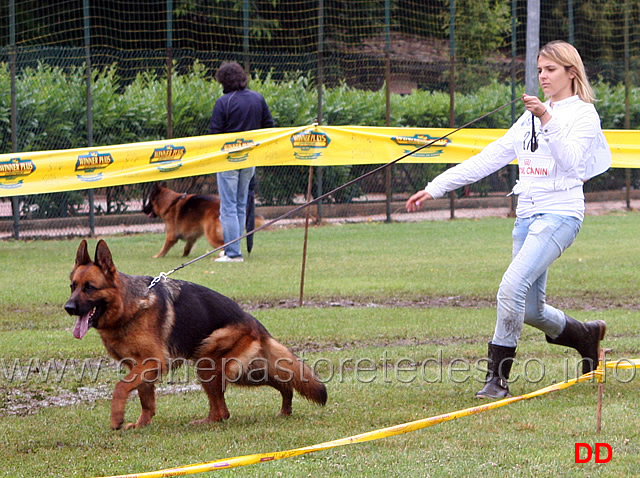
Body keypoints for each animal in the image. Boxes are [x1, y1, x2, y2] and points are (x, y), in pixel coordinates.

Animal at [65, 239, 328, 430]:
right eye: (72, 286)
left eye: (90, 288)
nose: (68, 308)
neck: (129, 305)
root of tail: (255, 323)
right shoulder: (139, 366)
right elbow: (145, 399)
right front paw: (142, 424)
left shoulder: (152, 362)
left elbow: (121, 387)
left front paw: (116, 418)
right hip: (240, 370)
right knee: (276, 384)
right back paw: (284, 408)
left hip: (210, 364)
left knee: (223, 411)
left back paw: (206, 423)